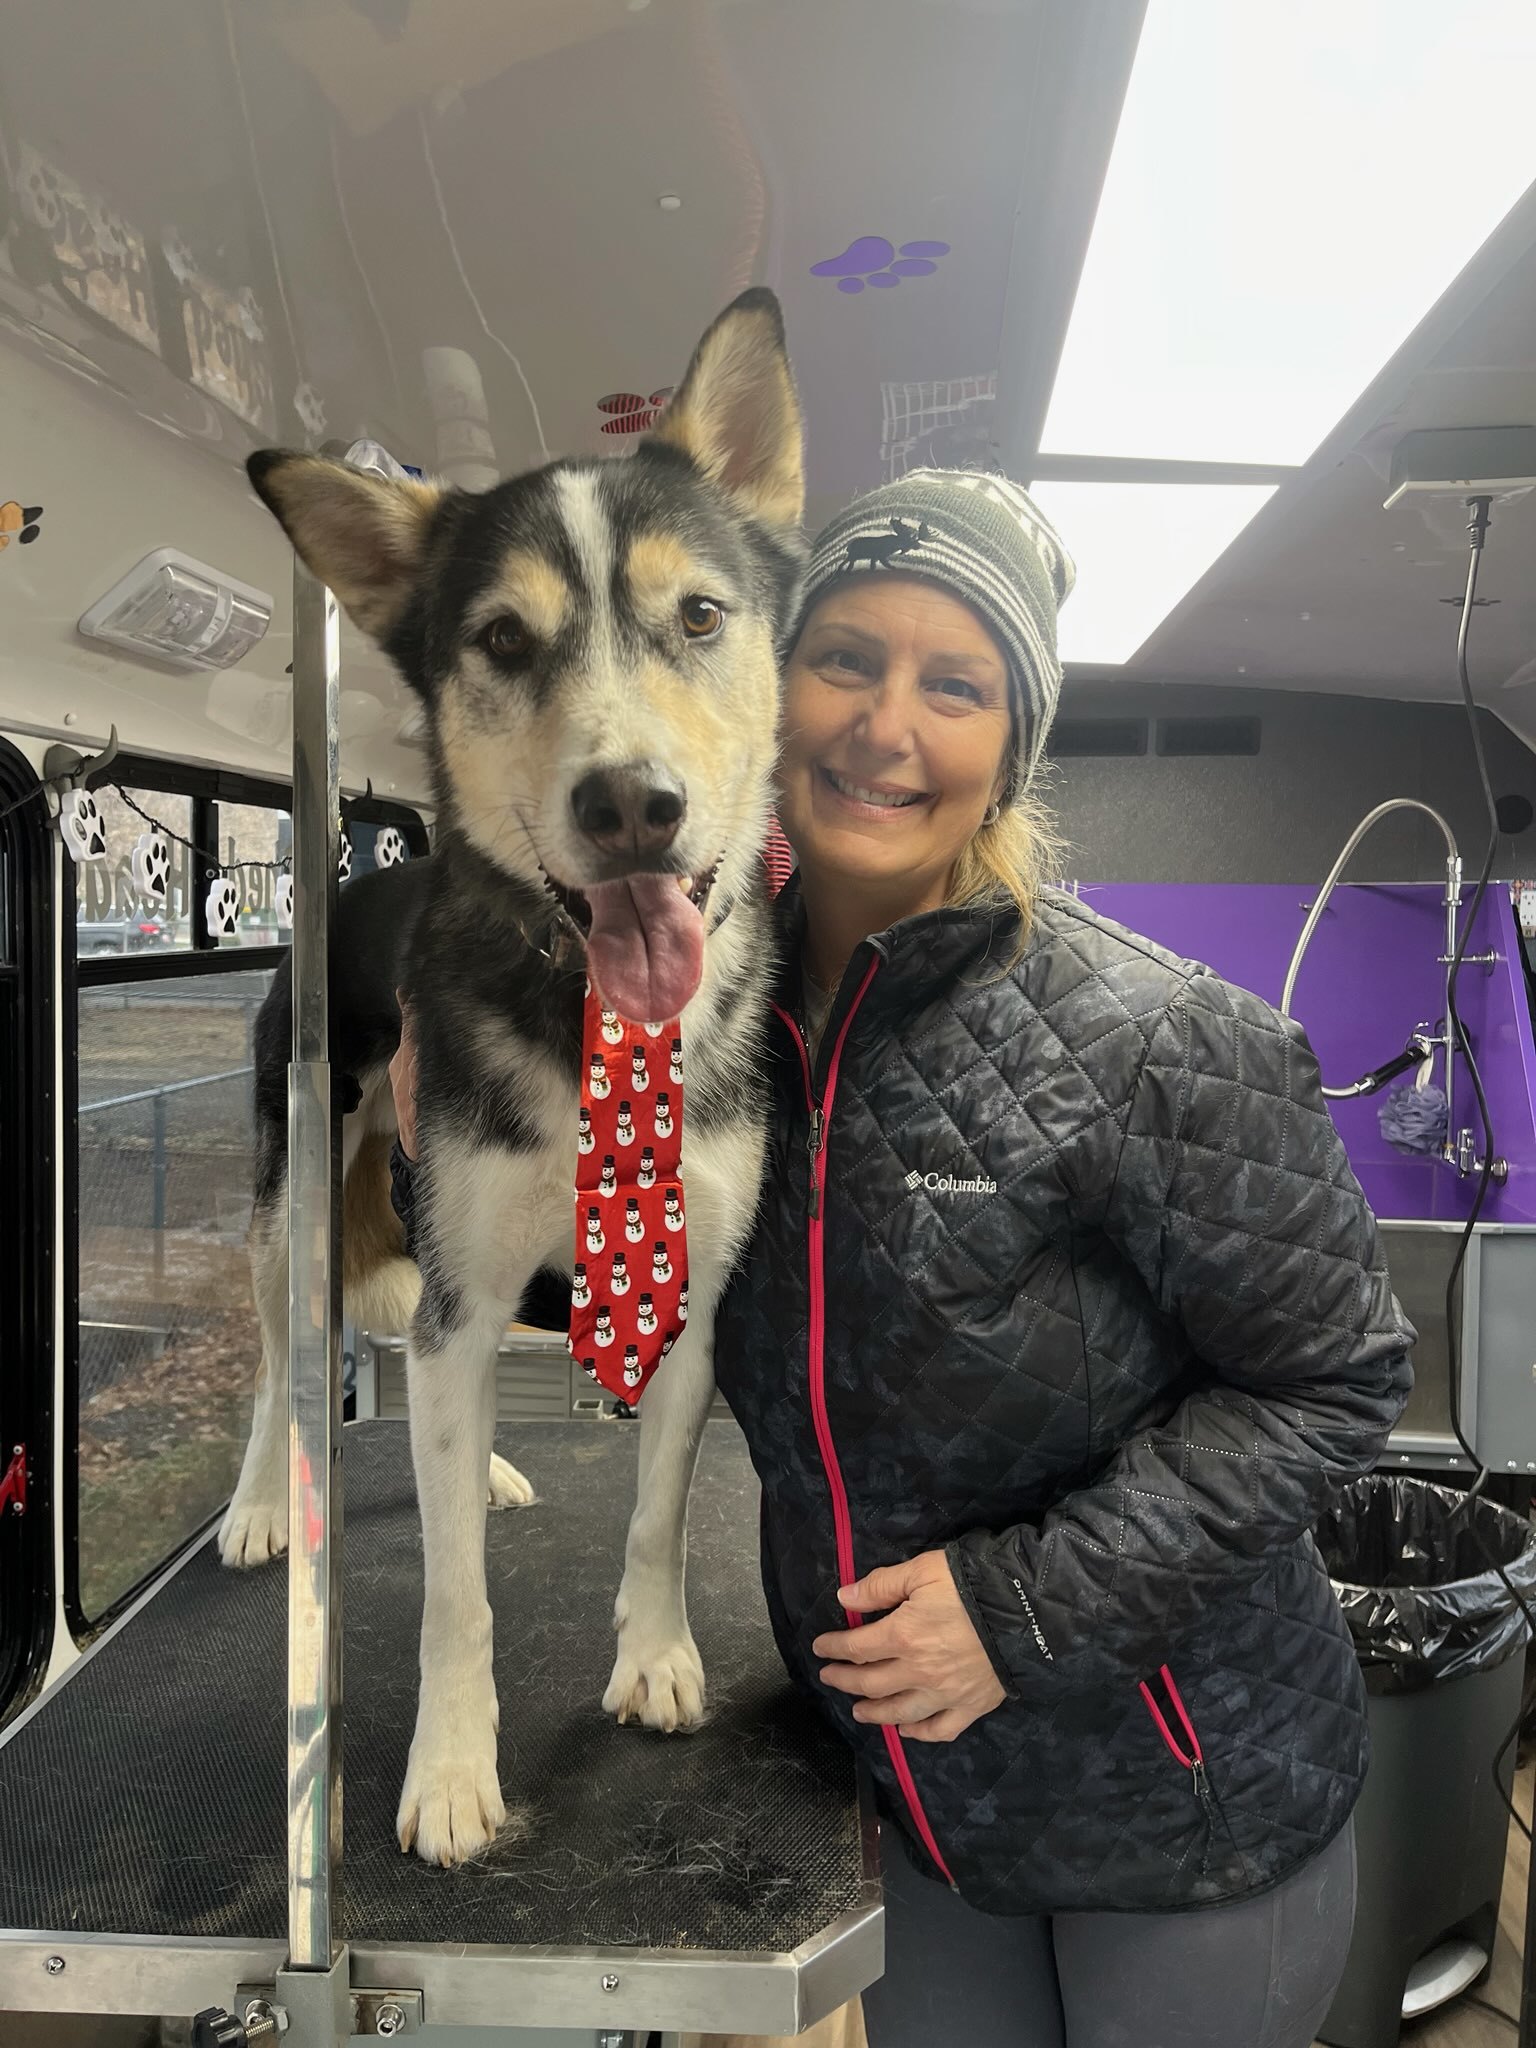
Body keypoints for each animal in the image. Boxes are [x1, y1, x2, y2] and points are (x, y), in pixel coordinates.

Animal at [227, 292, 811, 1875]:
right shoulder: (452, 1281)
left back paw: (477, 1469)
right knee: (288, 1364)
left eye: (700, 617)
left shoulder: (688, 1293)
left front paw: (656, 1659)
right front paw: (448, 1772)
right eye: (500, 637)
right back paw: (261, 1503)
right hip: (298, 1199)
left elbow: (659, 1514)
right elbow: (453, 1597)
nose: (632, 805)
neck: (591, 1012)